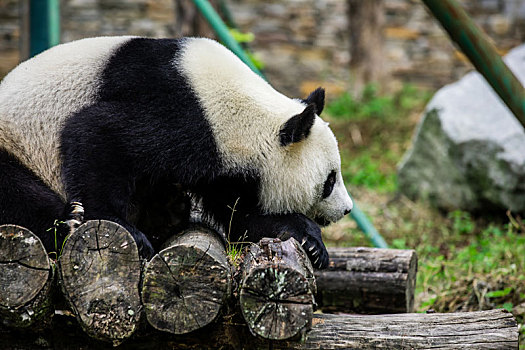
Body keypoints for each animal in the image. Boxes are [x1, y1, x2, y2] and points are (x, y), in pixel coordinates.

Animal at [1, 37, 352, 270]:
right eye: (329, 181)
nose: (347, 209)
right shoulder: (183, 114)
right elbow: (93, 132)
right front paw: (122, 228)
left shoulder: (226, 169)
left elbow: (241, 217)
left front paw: (309, 240)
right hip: (13, 141)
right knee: (17, 193)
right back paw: (69, 222)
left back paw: (169, 211)